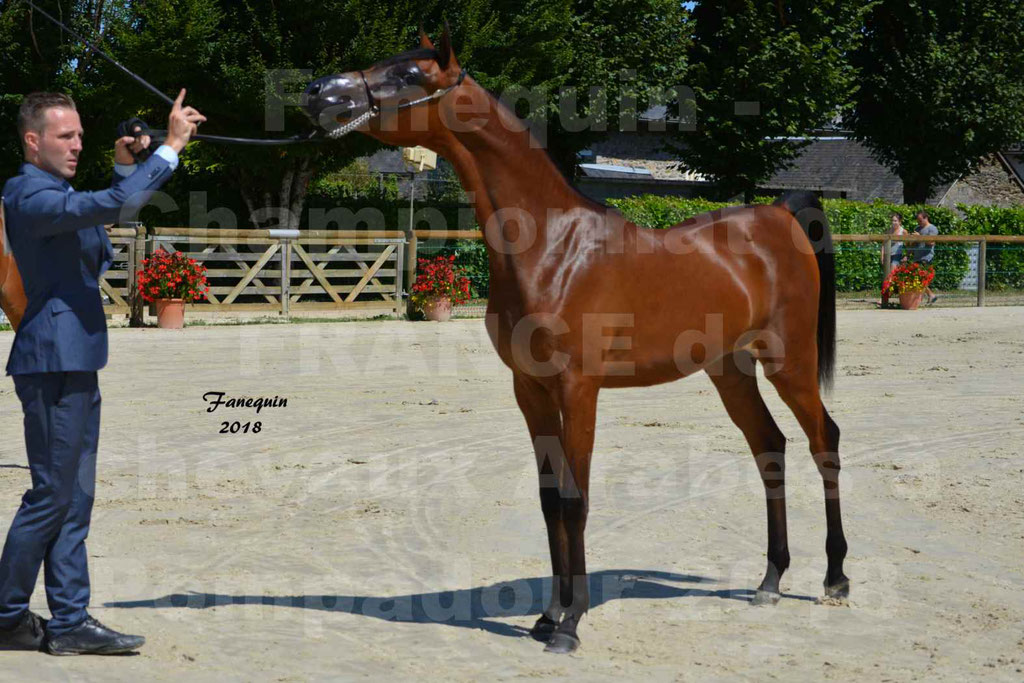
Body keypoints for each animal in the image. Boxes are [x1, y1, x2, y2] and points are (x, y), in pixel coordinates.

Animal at [301, 28, 847, 655]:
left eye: (409, 75)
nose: (317, 92)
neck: (551, 246)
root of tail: (780, 215)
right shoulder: (530, 389)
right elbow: (548, 501)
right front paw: (546, 614)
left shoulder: (578, 389)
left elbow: (575, 498)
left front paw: (570, 624)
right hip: (729, 370)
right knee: (770, 449)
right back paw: (770, 580)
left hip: (790, 361)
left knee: (823, 441)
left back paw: (835, 578)